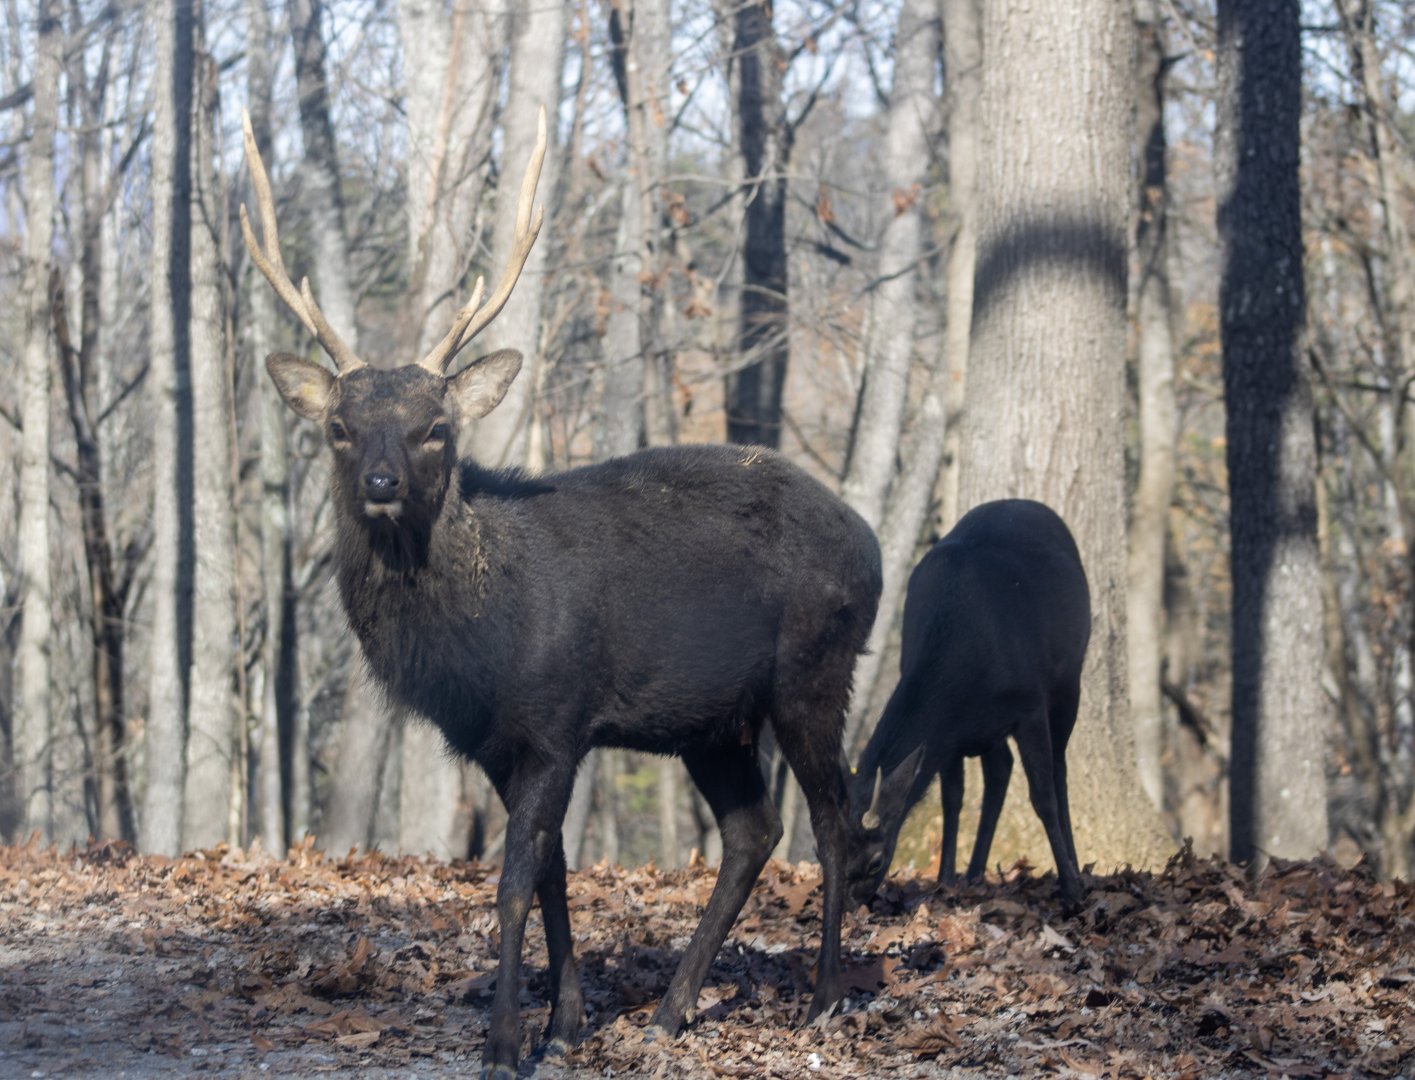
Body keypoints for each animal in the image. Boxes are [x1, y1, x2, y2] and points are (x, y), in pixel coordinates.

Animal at [239, 107, 882, 1079]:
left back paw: (821, 1001)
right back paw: (669, 1013)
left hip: (815, 667)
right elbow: (551, 874)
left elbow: (511, 883)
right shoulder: (494, 744)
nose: (383, 483)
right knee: (754, 831)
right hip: (712, 719)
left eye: (437, 428)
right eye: (340, 427)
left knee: (836, 821)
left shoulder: (556, 718)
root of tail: (874, 544)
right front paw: (568, 1024)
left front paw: (506, 1043)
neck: (478, 644)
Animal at [843, 499, 1090, 910]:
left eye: (876, 859)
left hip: (1068, 680)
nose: (851, 905)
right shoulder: (949, 734)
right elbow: (952, 799)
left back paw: (1074, 866)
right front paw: (945, 880)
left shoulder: (1028, 703)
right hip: (988, 730)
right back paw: (974, 873)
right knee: (1000, 770)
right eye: (821, 850)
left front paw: (1071, 890)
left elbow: (1042, 797)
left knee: (1059, 771)